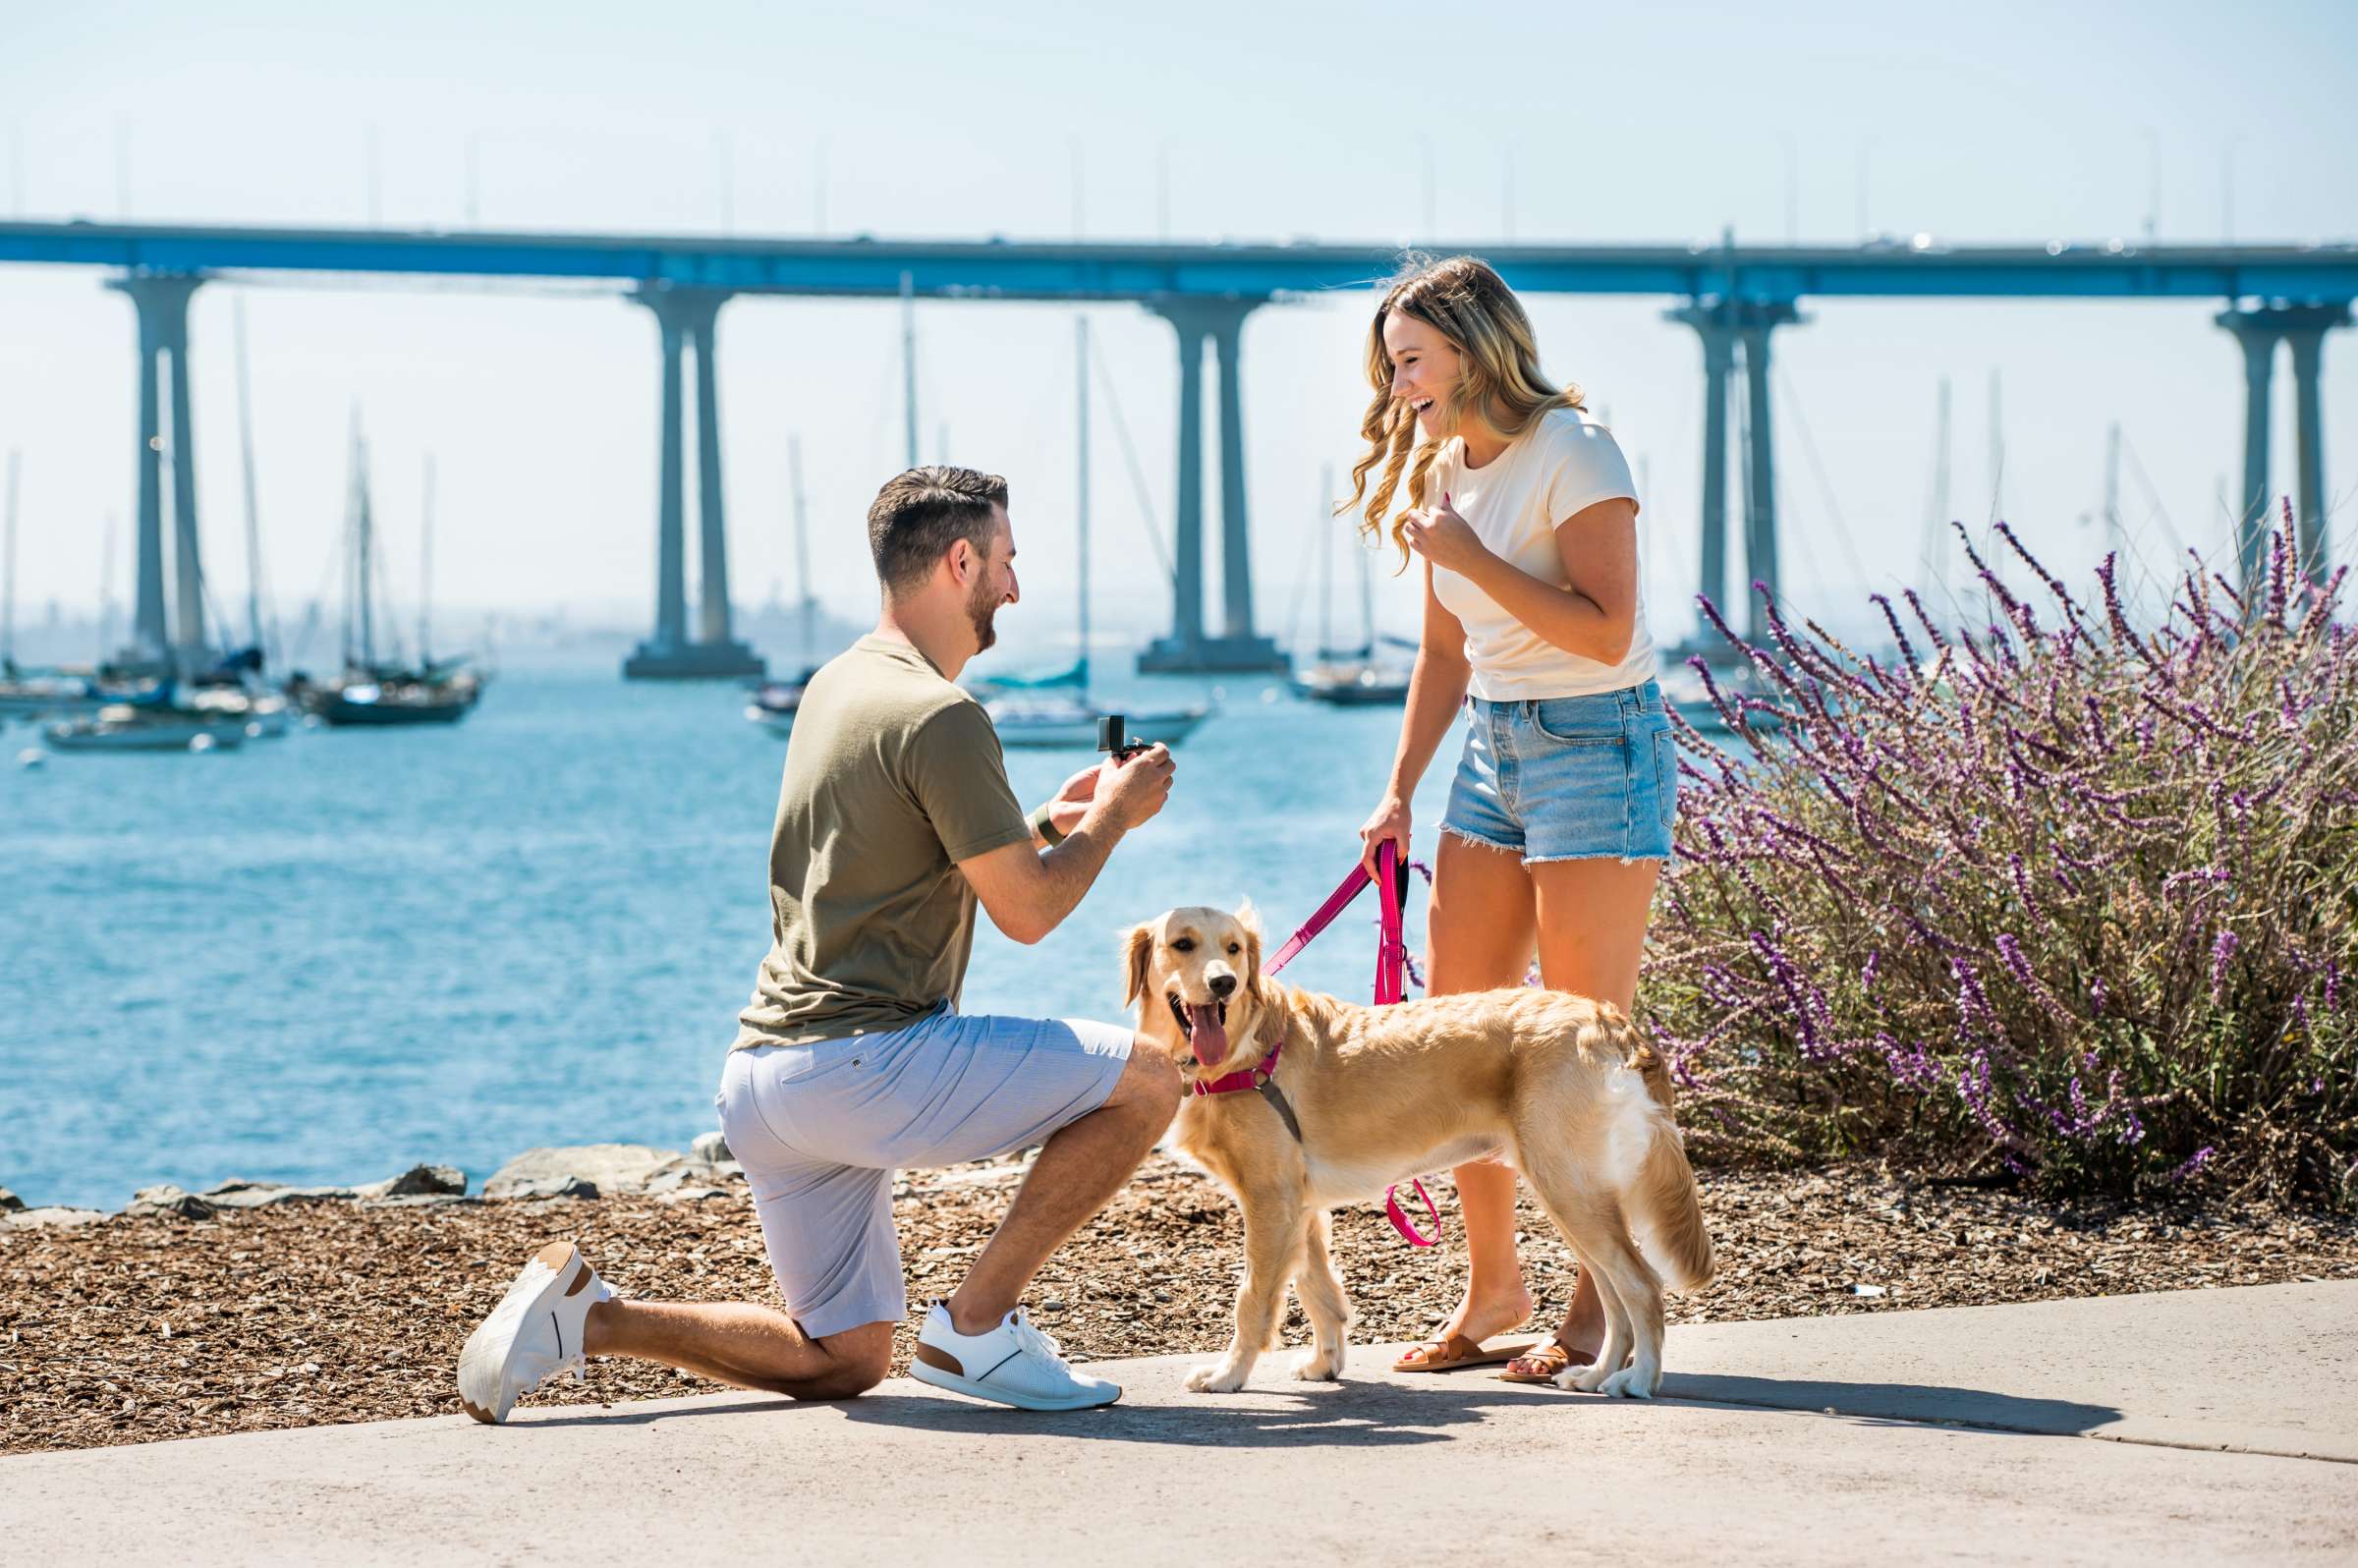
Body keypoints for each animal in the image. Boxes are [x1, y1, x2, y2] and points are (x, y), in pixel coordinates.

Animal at [1122, 905, 1716, 1395]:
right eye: (1183, 944)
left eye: (1233, 949)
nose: (1223, 984)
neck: (1246, 1047)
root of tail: (1610, 1022)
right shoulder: (1300, 1207)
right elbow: (1318, 1290)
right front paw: (1324, 1363)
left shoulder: (1270, 1201)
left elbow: (1252, 1300)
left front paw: (1227, 1375)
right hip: (1572, 1197)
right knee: (1615, 1295)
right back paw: (1595, 1374)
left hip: (1571, 1191)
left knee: (1642, 1285)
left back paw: (1637, 1380)